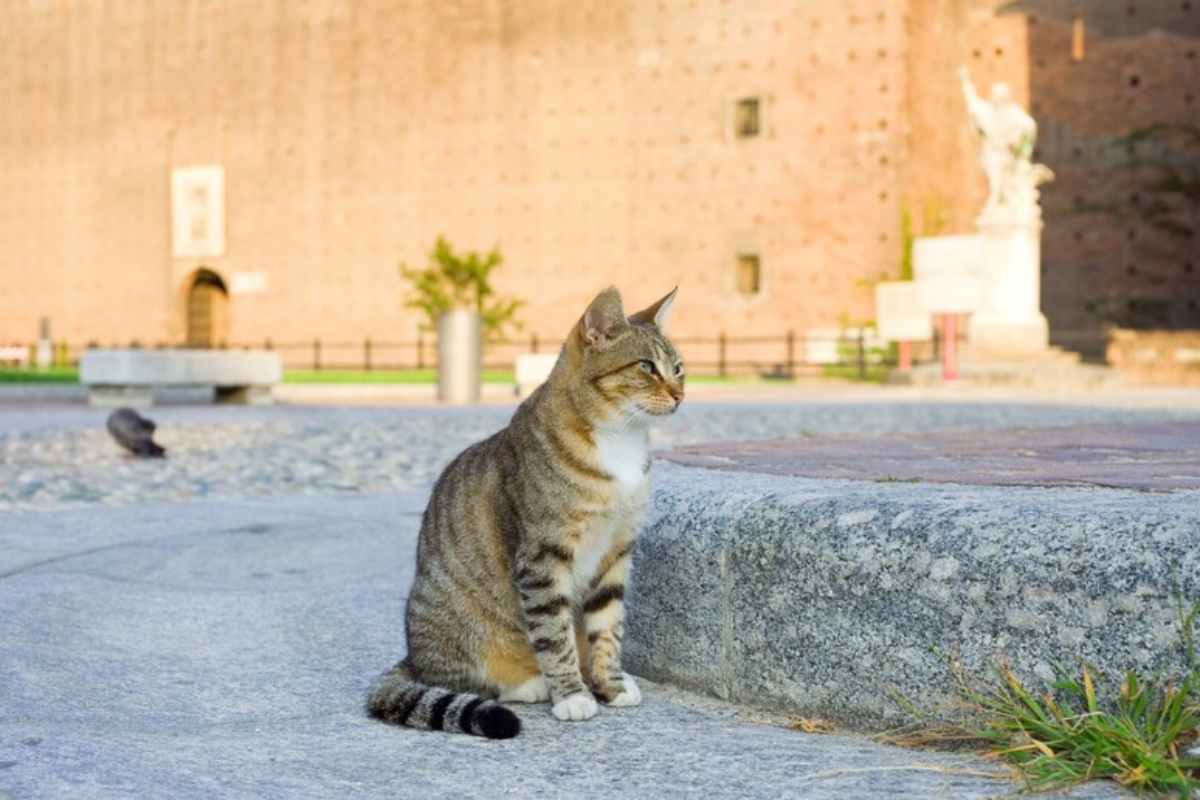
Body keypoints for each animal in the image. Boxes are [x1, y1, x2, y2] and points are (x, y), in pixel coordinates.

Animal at [364, 286, 686, 738]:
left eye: (678, 368)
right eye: (646, 367)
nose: (679, 394)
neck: (618, 439)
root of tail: (412, 657)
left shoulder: (616, 551)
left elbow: (607, 627)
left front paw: (611, 684)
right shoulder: (542, 557)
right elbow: (554, 634)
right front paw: (571, 695)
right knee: (461, 678)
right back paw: (532, 684)